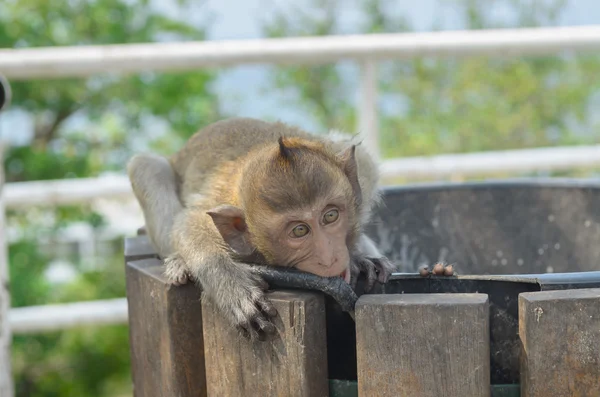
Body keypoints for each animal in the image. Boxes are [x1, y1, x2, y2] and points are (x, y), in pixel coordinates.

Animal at [127, 116, 396, 338]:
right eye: (299, 231)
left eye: (330, 216)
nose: (330, 257)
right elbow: (189, 222)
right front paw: (231, 285)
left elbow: (364, 162)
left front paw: (357, 256)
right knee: (146, 166)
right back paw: (179, 262)